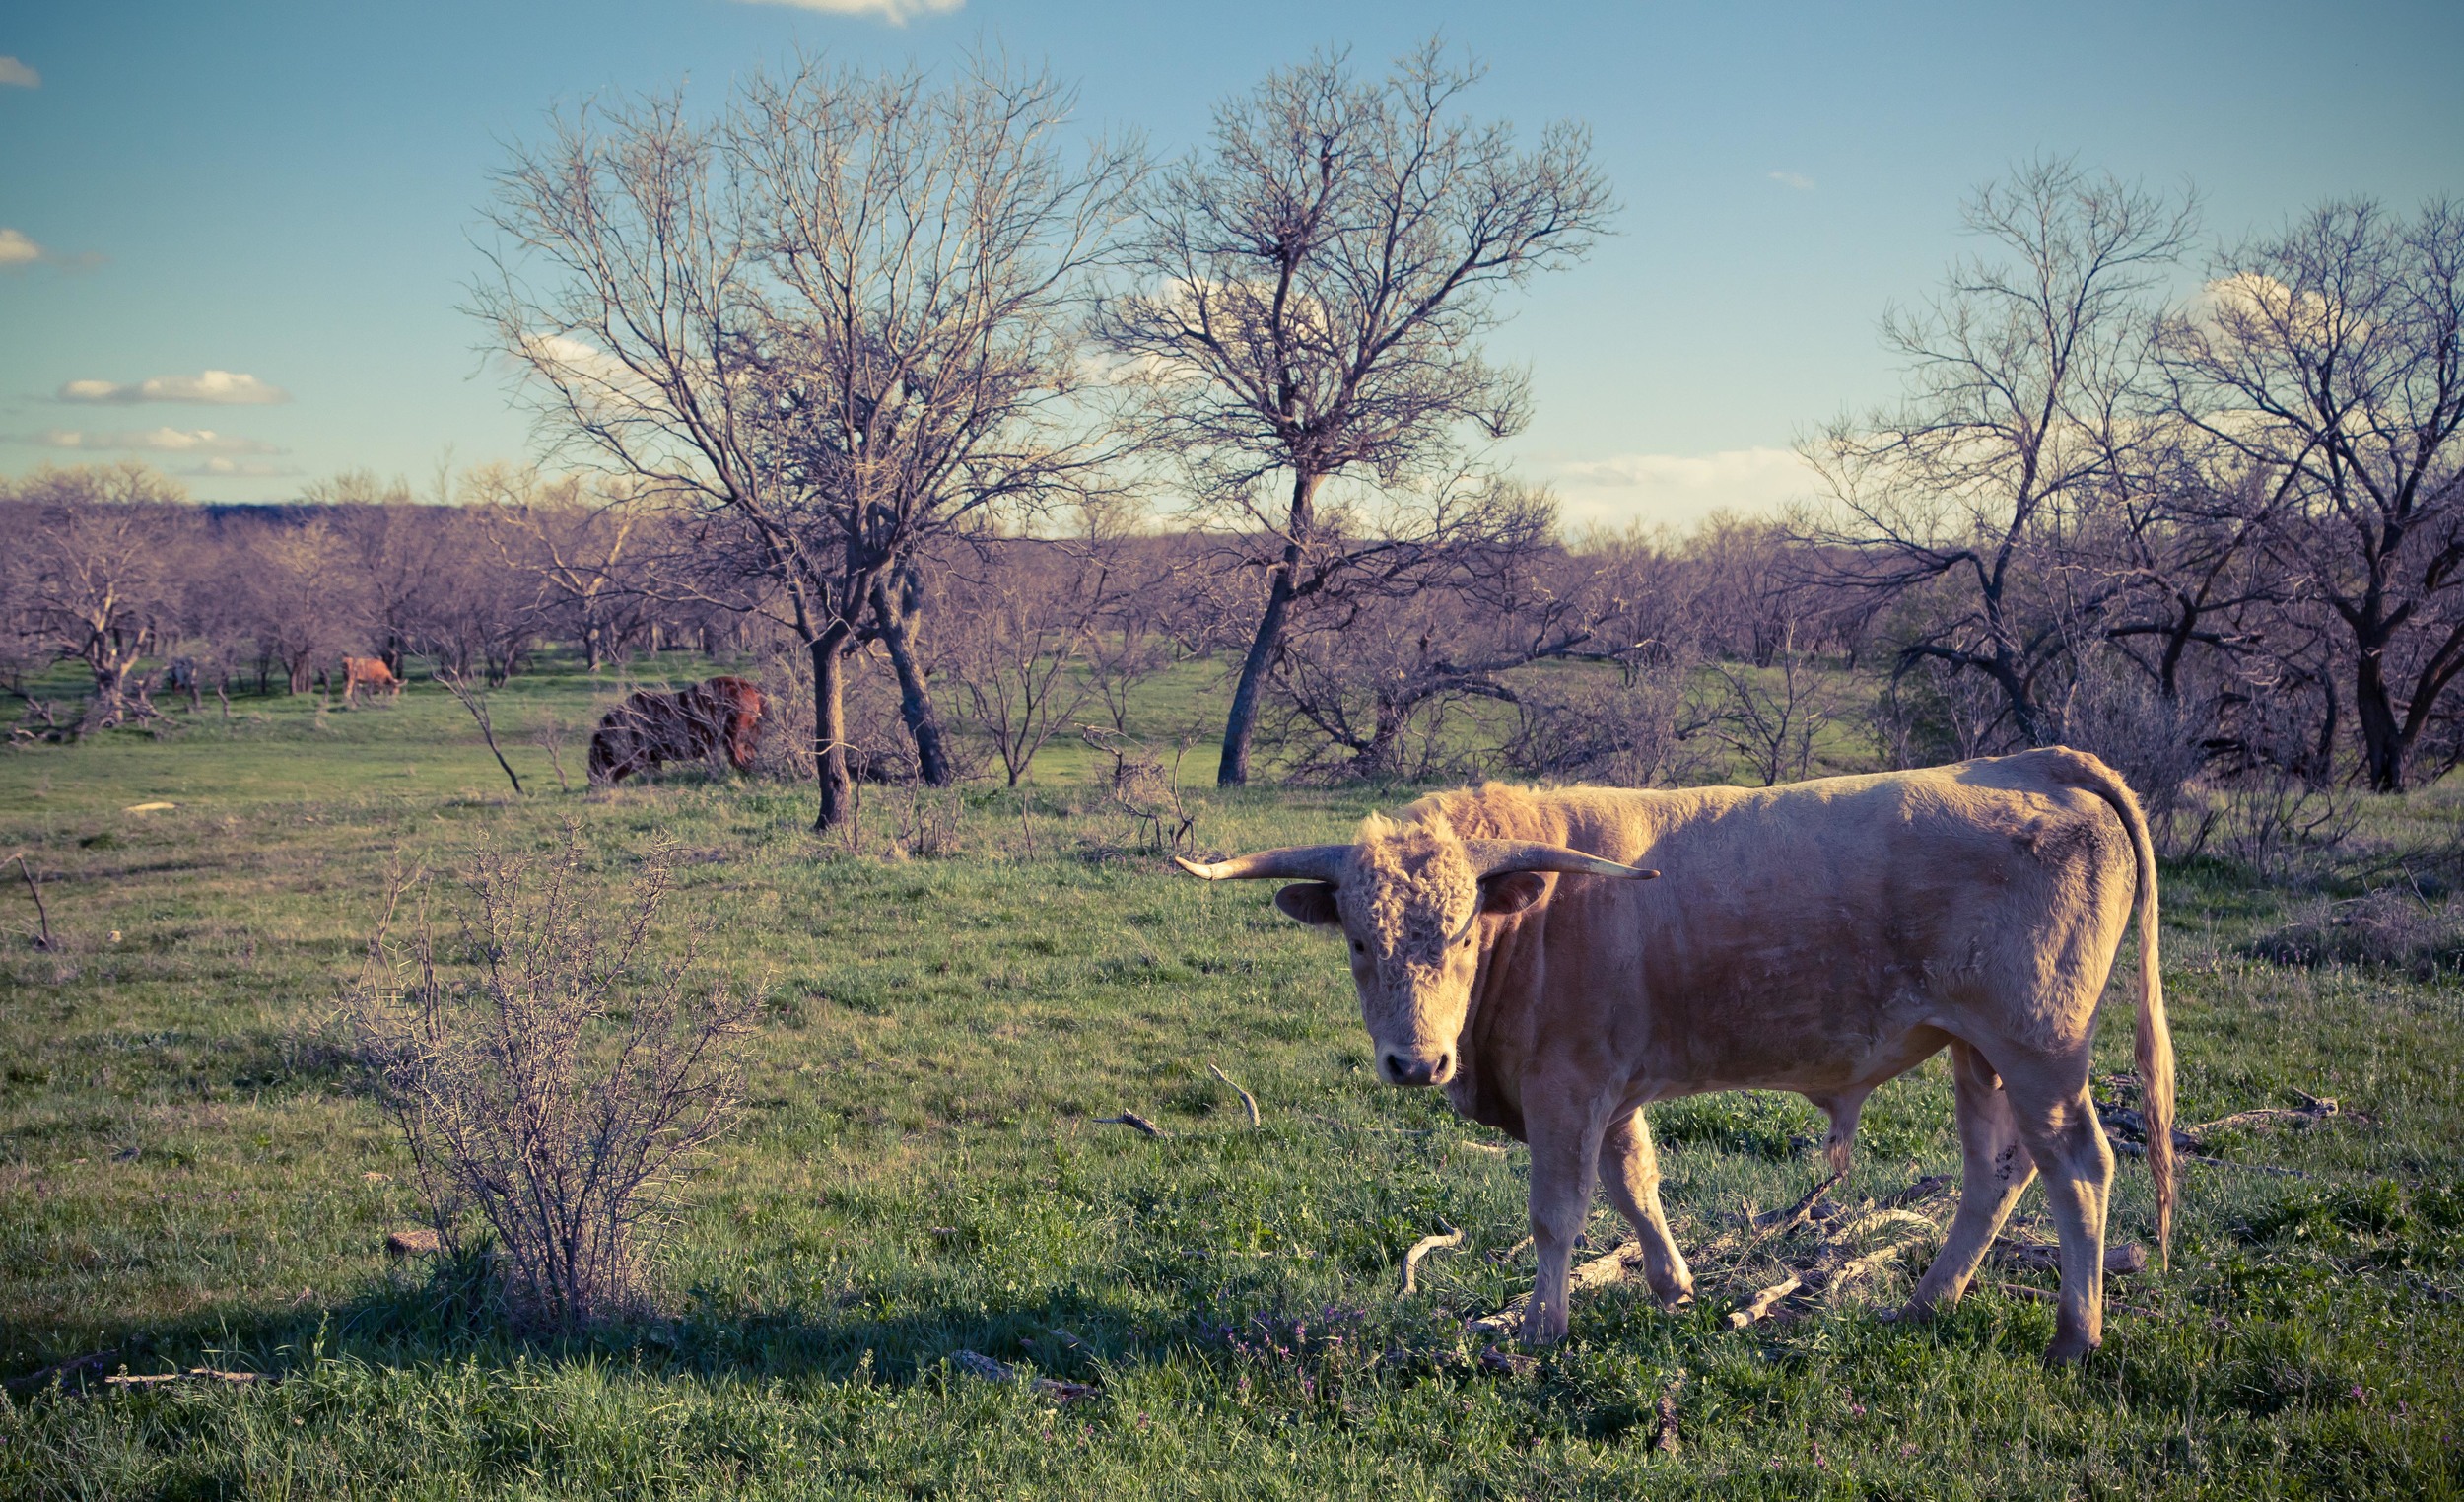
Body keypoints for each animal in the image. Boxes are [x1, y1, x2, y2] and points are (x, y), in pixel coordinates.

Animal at [588, 669, 764, 778]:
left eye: (598, 749)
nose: (591, 775)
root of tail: (751, 688)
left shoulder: (640, 757)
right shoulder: (653, 759)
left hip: (733, 741)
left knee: (741, 762)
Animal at [1183, 743, 2168, 1359]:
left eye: (1462, 934)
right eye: (1359, 940)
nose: (1417, 1063)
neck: (1539, 919)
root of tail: (2033, 762)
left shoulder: (1566, 1087)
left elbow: (1558, 1212)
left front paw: (1541, 1326)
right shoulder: (1610, 1091)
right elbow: (1636, 1187)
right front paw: (1673, 1288)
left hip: (2040, 1047)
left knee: (2079, 1167)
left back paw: (2075, 1337)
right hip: (1978, 1052)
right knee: (1995, 1171)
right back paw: (1927, 1304)